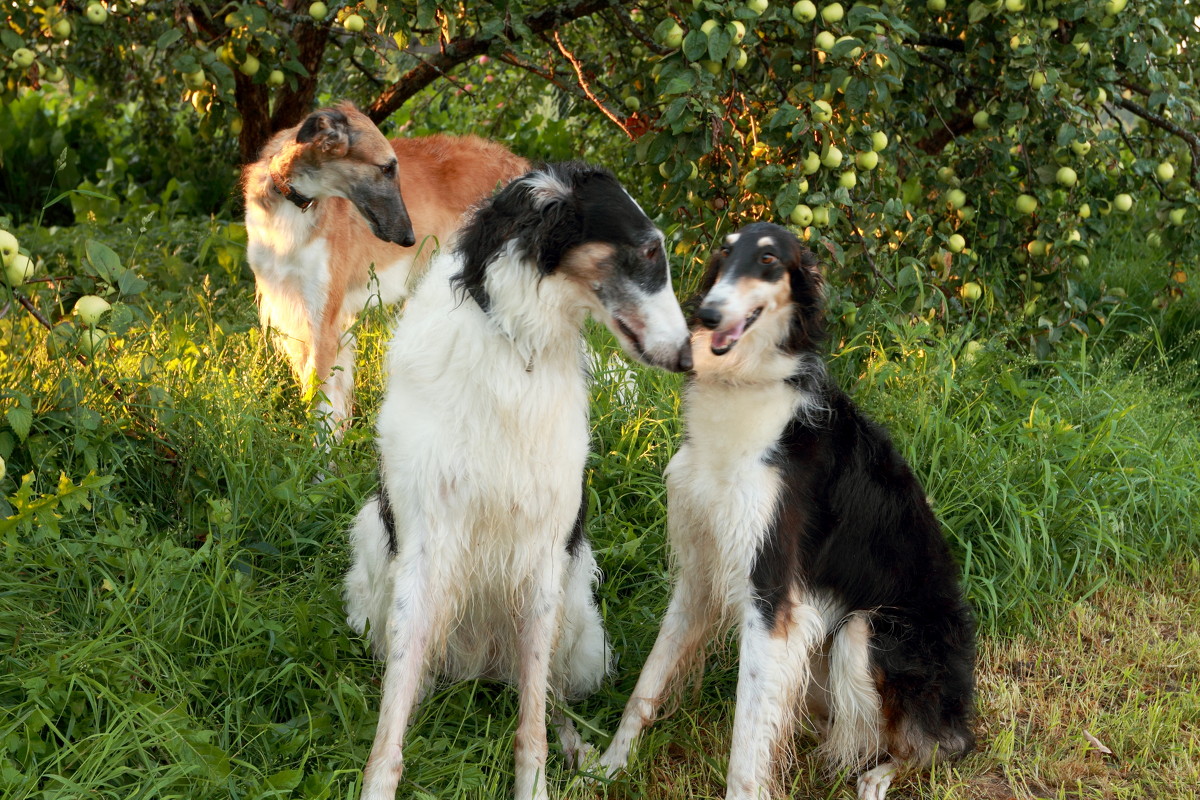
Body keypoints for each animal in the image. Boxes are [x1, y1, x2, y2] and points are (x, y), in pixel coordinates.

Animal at [242, 104, 525, 434]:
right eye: (387, 168)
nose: (408, 238)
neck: (291, 206)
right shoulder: (295, 315)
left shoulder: (324, 320)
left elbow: (320, 403)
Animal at [343, 163, 691, 800]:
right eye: (650, 250)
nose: (689, 359)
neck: (517, 344)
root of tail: (483, 664)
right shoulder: (425, 542)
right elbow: (392, 714)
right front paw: (379, 783)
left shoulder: (542, 549)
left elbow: (532, 723)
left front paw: (536, 784)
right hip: (376, 562)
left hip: (577, 616)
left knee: (550, 696)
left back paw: (581, 751)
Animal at [592, 220, 974, 800]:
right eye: (724, 253)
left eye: (769, 260)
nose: (708, 313)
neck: (744, 391)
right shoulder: (699, 571)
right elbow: (649, 683)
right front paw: (607, 767)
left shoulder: (771, 593)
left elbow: (745, 745)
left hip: (867, 632)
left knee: (937, 743)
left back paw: (878, 776)